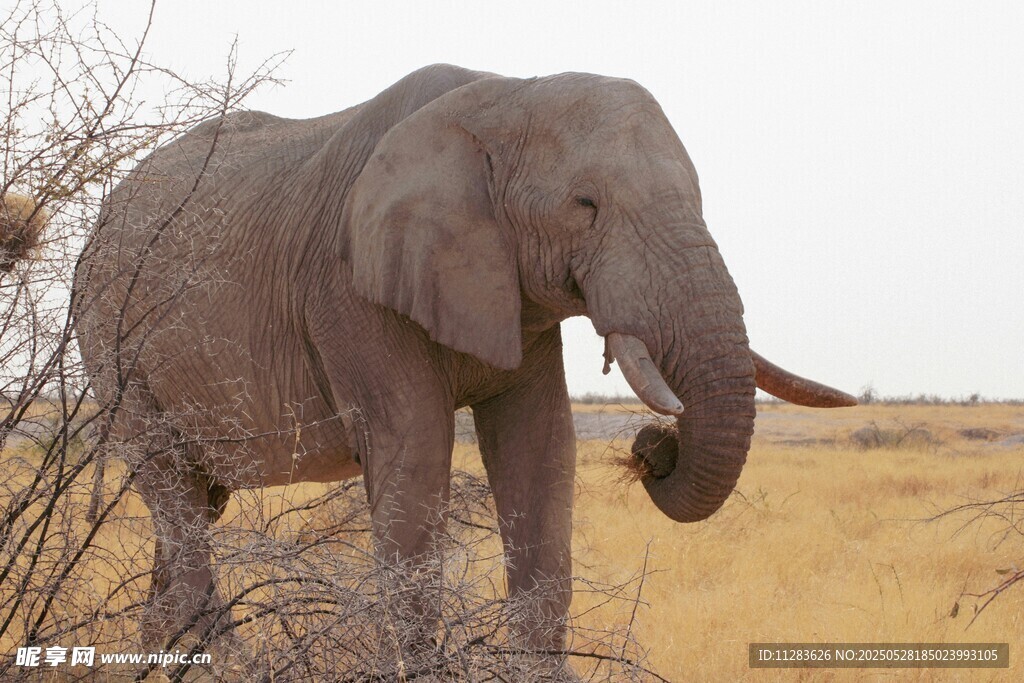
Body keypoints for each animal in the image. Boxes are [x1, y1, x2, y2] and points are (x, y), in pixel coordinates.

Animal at [72, 64, 854, 673]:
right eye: (585, 205)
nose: (650, 447)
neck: (505, 95)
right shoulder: (351, 292)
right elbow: (417, 460)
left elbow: (542, 449)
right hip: (112, 341)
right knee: (173, 492)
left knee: (197, 504)